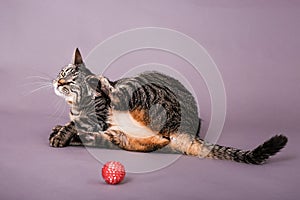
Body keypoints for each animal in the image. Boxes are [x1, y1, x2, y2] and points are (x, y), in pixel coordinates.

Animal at [49, 48, 288, 164]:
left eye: (71, 82)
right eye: (62, 73)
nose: (58, 82)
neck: (77, 106)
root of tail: (187, 130)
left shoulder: (95, 117)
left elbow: (75, 123)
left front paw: (62, 133)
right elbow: (72, 123)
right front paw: (59, 130)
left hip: (139, 86)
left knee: (117, 95)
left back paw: (103, 81)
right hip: (120, 137)